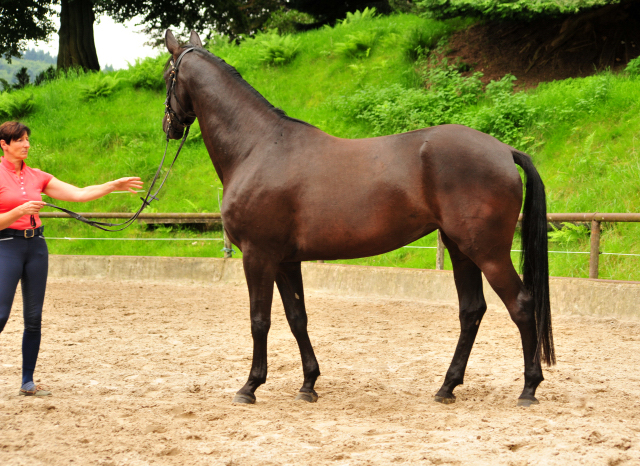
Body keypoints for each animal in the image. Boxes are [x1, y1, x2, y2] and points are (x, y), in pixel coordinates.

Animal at [164, 30, 556, 408]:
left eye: (168, 76)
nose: (169, 127)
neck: (258, 147)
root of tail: (504, 150)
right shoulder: (286, 261)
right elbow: (297, 318)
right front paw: (308, 384)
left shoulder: (258, 255)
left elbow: (259, 320)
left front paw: (250, 387)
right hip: (461, 250)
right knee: (471, 311)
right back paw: (447, 387)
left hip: (487, 252)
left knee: (522, 306)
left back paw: (528, 388)